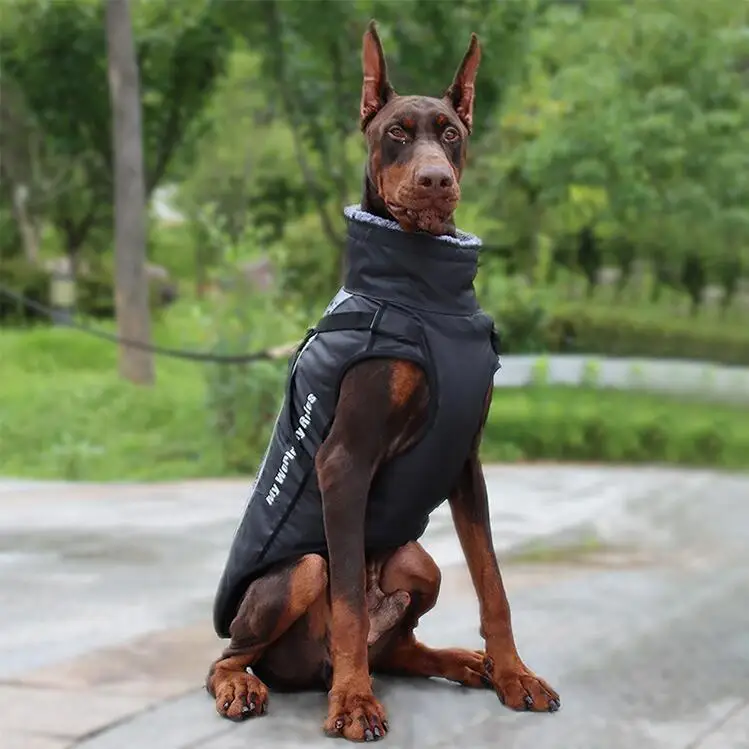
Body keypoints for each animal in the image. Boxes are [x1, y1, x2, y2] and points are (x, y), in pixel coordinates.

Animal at [206, 20, 559, 743]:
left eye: (450, 133)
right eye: (395, 131)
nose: (434, 180)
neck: (425, 291)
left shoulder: (466, 460)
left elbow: (493, 582)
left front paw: (515, 675)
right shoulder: (343, 460)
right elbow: (345, 603)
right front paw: (353, 702)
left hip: (416, 560)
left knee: (396, 645)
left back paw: (465, 662)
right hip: (298, 572)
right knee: (235, 651)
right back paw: (255, 686)